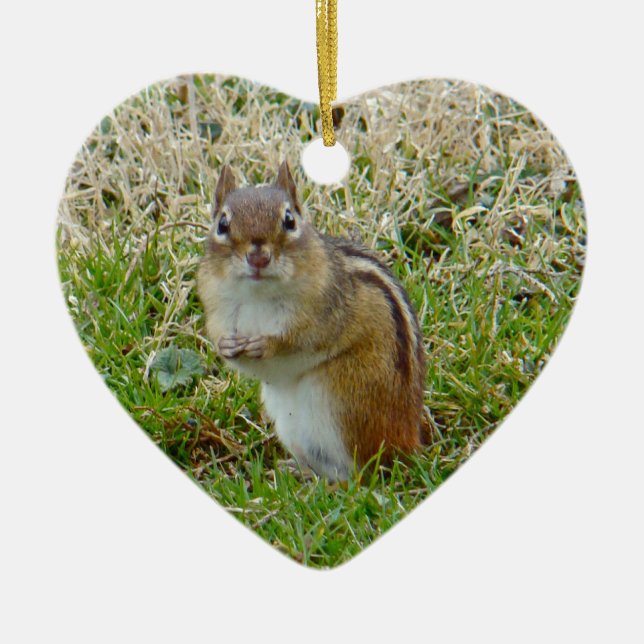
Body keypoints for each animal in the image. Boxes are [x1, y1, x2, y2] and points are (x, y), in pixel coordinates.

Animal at [197, 162, 426, 481]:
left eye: (289, 220)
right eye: (222, 224)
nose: (258, 257)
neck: (258, 295)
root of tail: (407, 440)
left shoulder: (326, 311)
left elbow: (301, 340)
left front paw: (267, 345)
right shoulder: (217, 308)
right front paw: (226, 346)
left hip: (344, 400)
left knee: (359, 476)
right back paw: (298, 471)